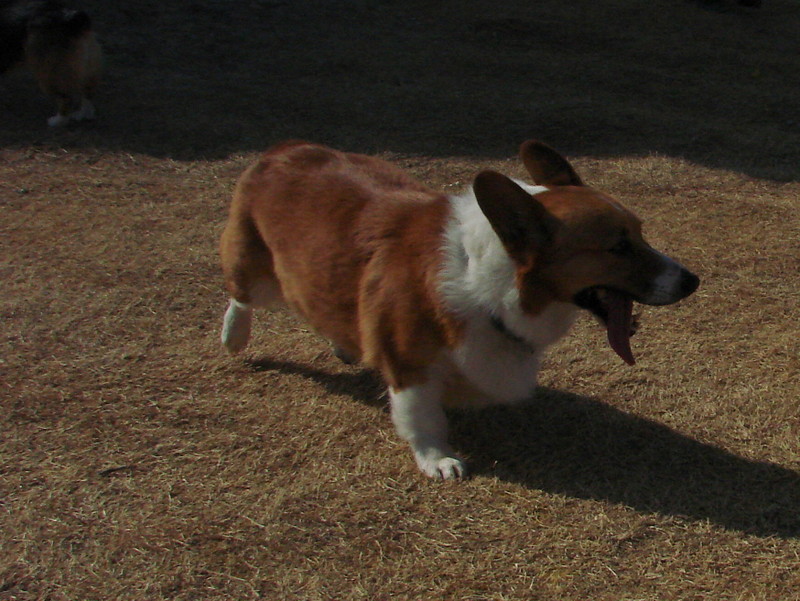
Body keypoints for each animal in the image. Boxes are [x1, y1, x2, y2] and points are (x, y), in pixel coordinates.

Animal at [220, 139, 700, 478]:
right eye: (618, 247)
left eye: (641, 234)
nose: (692, 281)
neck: (492, 280)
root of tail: (284, 148)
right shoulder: (409, 365)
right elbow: (422, 416)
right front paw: (437, 459)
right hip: (260, 273)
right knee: (241, 294)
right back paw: (234, 336)